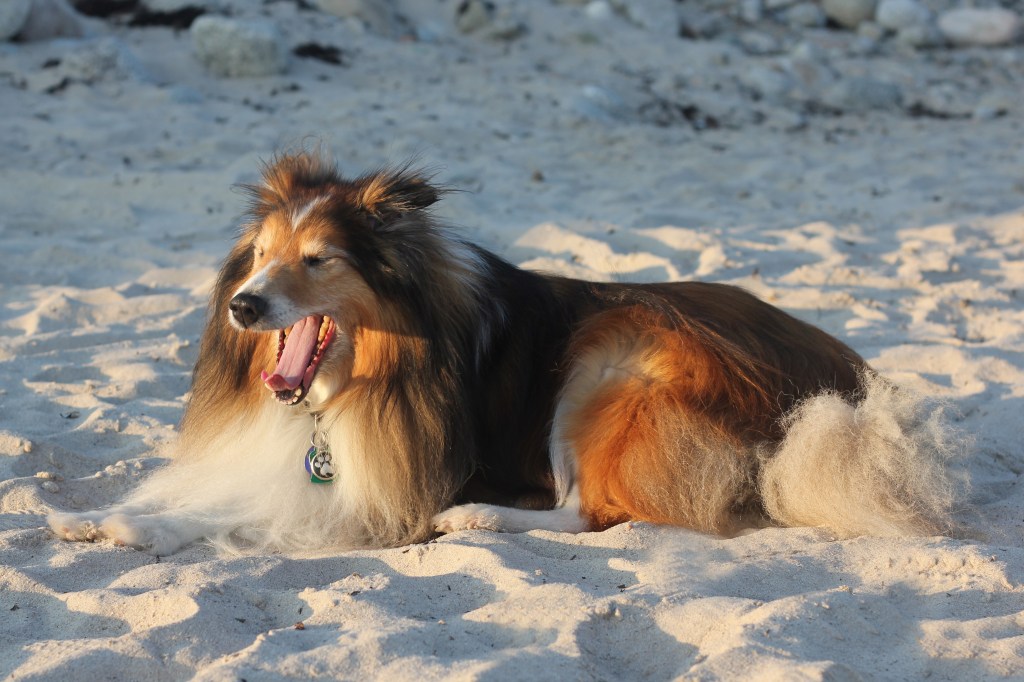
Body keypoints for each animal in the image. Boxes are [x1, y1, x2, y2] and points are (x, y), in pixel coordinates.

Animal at [48, 152, 962, 555]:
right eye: (263, 255)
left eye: (319, 261)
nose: (244, 306)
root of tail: (831, 388)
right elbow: (199, 489)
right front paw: (94, 514)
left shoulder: (381, 492)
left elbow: (240, 511)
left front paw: (136, 527)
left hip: (613, 353)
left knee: (589, 512)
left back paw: (478, 516)